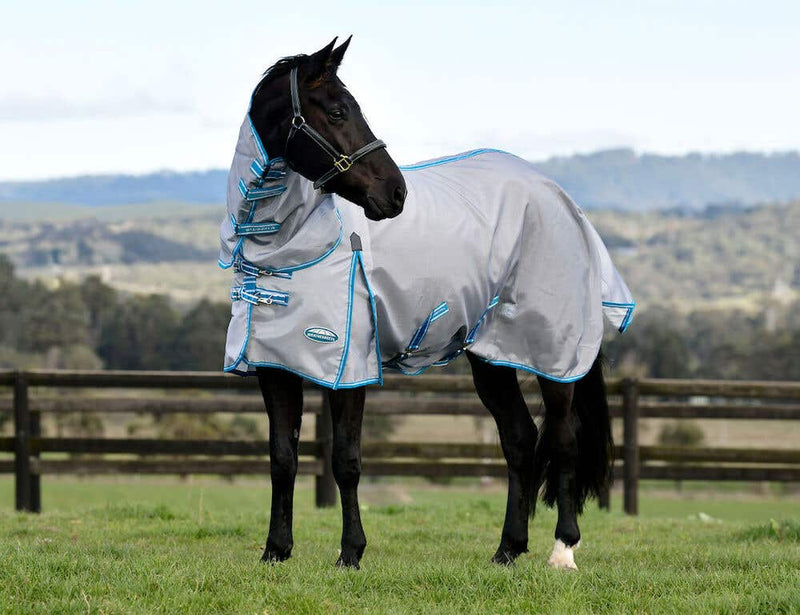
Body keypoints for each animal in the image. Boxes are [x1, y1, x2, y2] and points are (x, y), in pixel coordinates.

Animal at [218, 37, 634, 571]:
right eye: (337, 111)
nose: (395, 193)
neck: (289, 249)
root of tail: (561, 199)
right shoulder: (277, 365)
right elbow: (282, 457)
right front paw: (276, 550)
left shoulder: (349, 367)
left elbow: (345, 460)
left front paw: (351, 553)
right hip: (492, 358)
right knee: (520, 440)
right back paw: (507, 549)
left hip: (554, 355)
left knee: (562, 441)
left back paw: (562, 551)